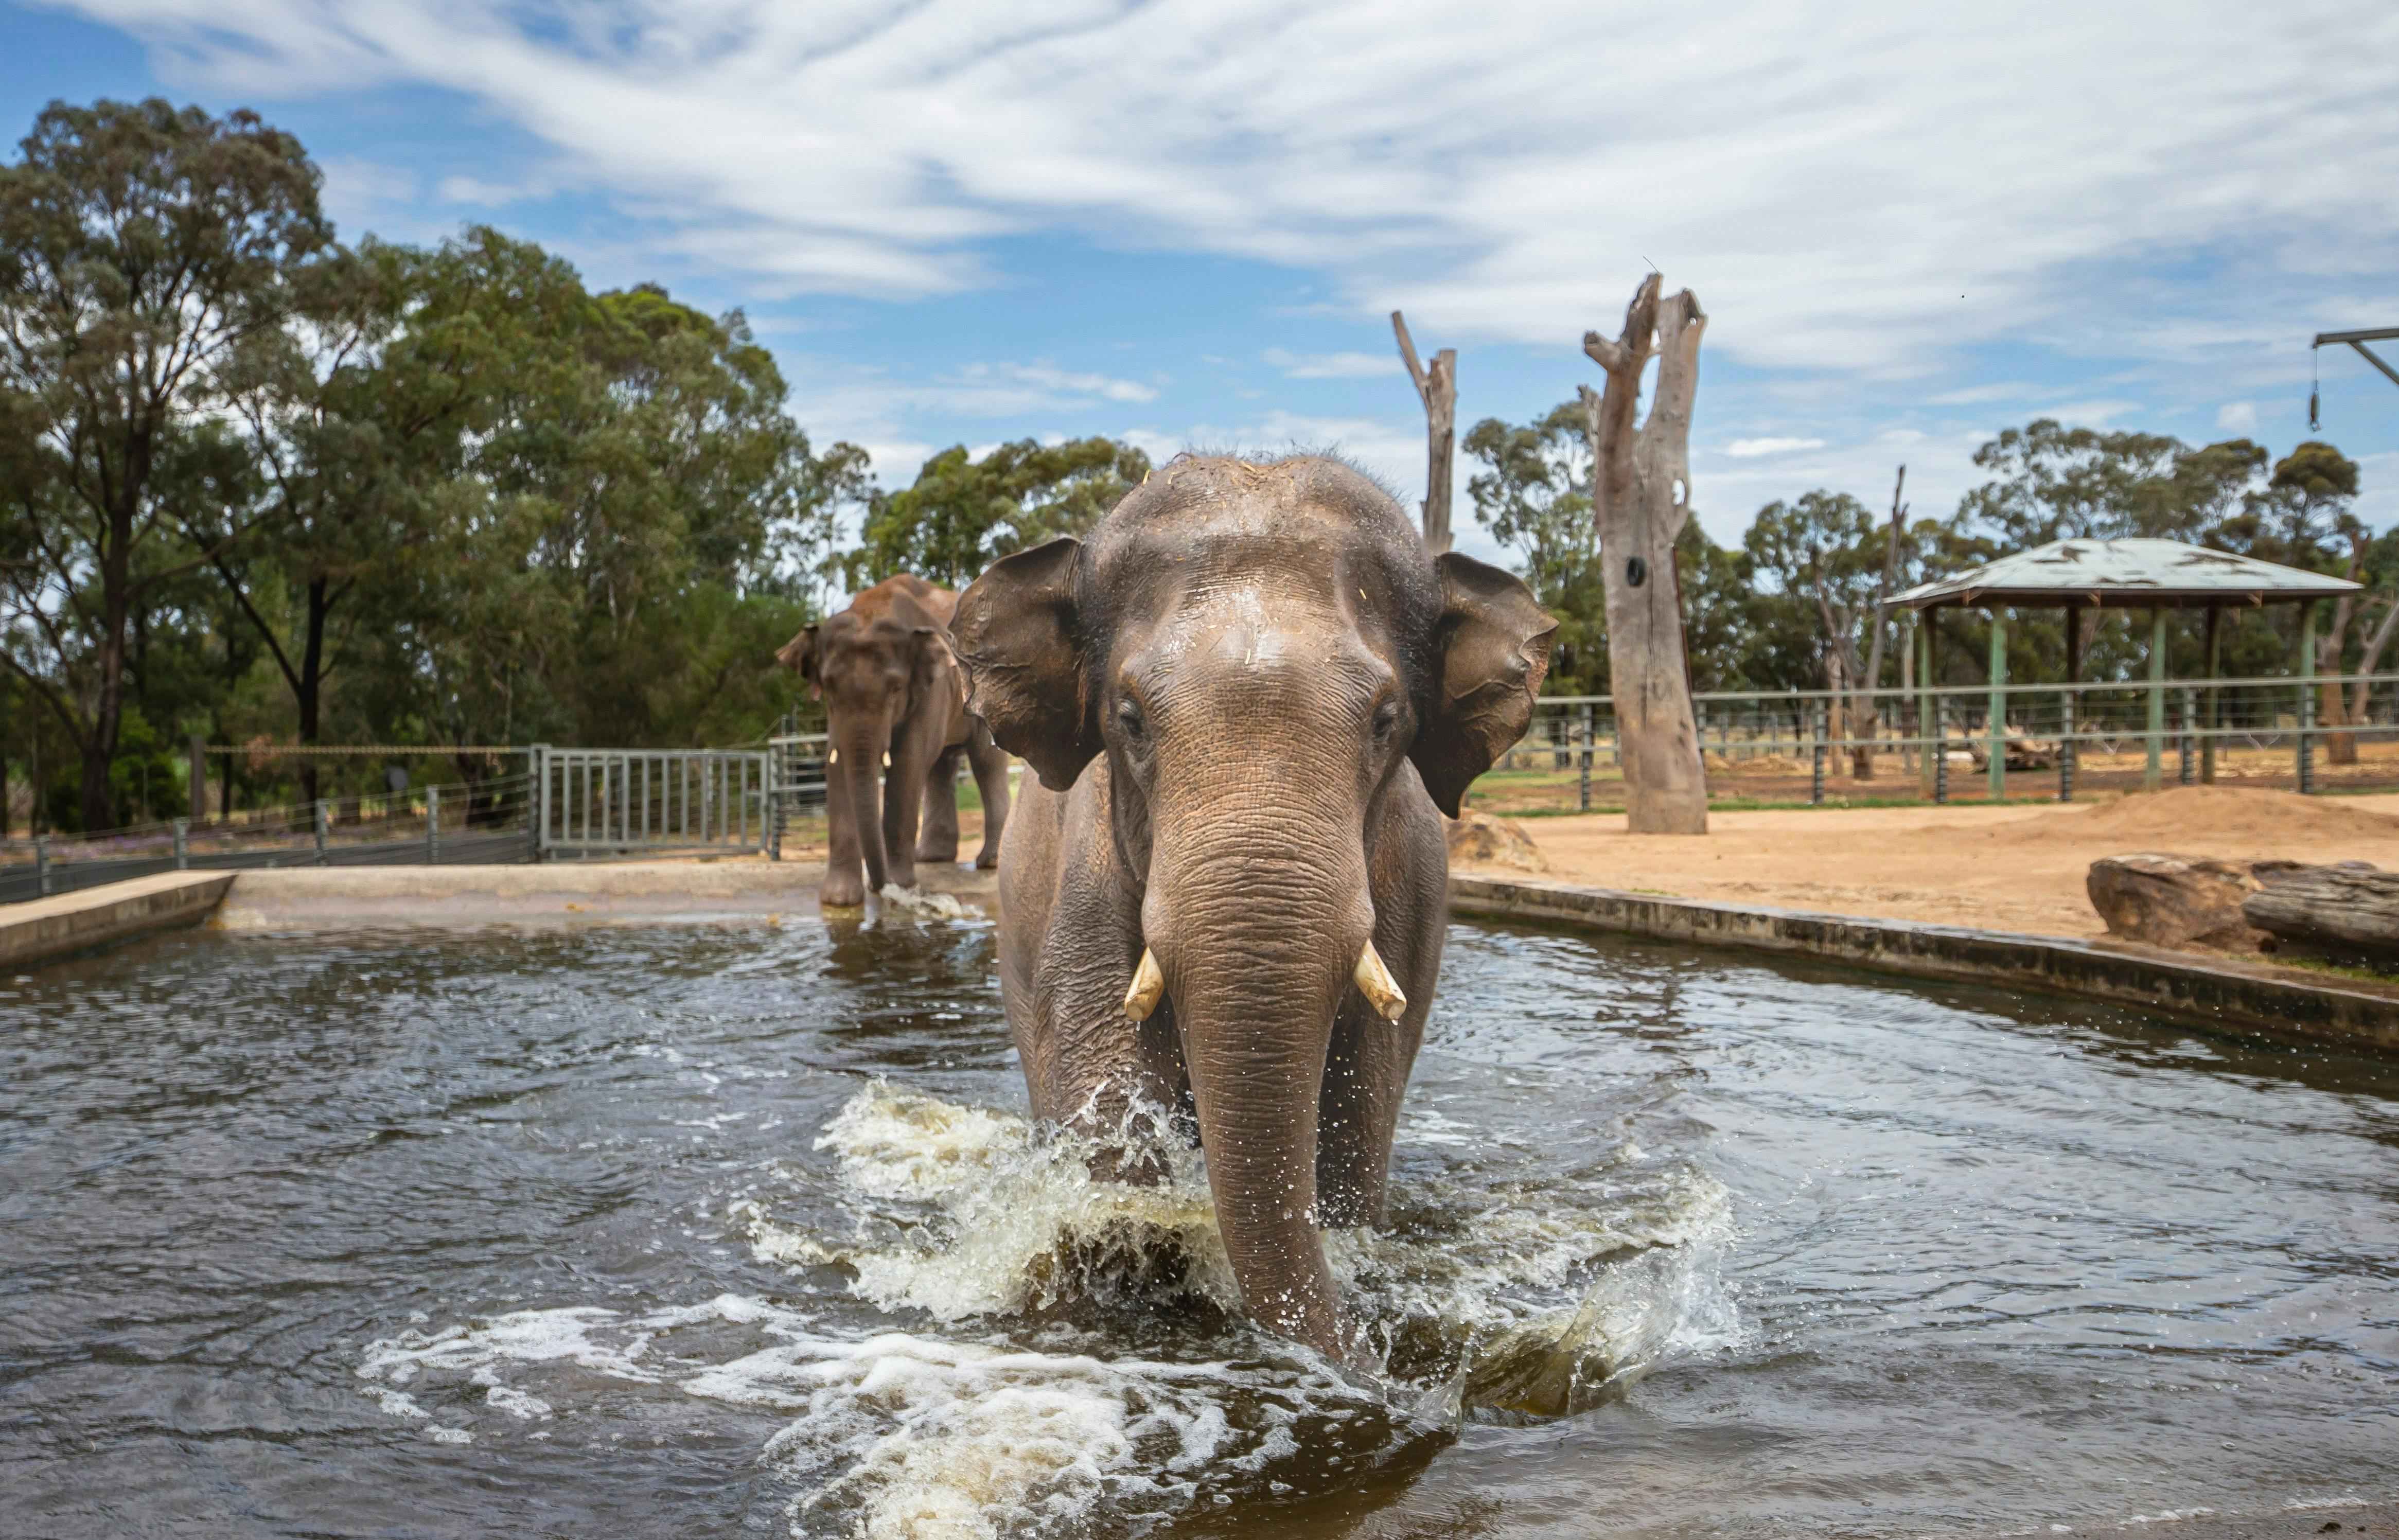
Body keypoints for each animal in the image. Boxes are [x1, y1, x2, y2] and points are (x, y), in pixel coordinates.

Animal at [777, 573, 1014, 908]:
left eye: (896, 689)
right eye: (829, 687)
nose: (879, 886)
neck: (874, 609)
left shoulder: (935, 683)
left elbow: (908, 762)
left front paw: (901, 888)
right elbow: (836, 764)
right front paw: (839, 901)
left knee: (986, 762)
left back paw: (989, 862)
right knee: (943, 764)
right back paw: (931, 858)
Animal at [952, 455, 1554, 1364]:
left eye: (1386, 721)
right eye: (1128, 719)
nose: (1367, 1358)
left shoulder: (1409, 903)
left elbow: (1353, 1116)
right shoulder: (1087, 879)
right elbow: (1110, 1108)